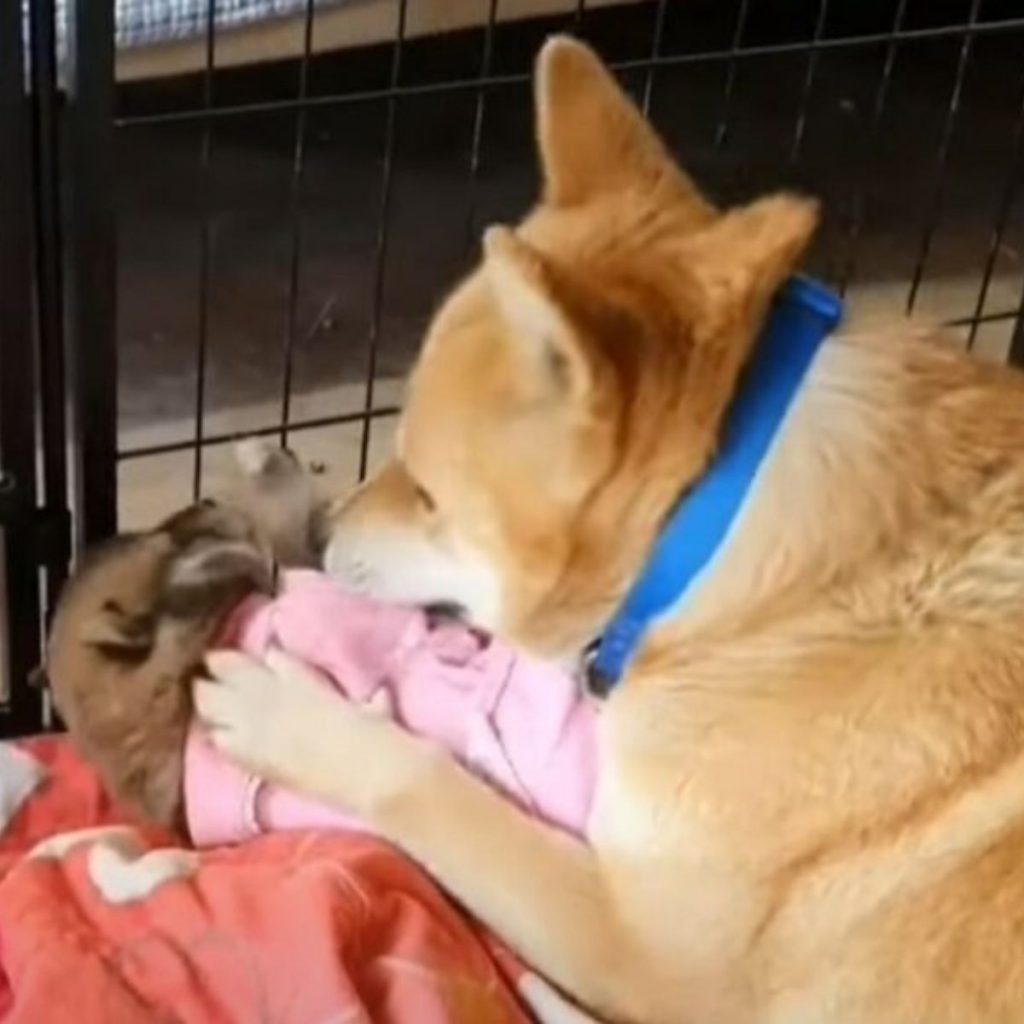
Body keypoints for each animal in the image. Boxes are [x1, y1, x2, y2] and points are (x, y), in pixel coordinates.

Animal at [193, 36, 1024, 1019]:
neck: (714, 536)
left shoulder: (649, 957)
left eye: (429, 493)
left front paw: (287, 719)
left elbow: (424, 780)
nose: (320, 540)